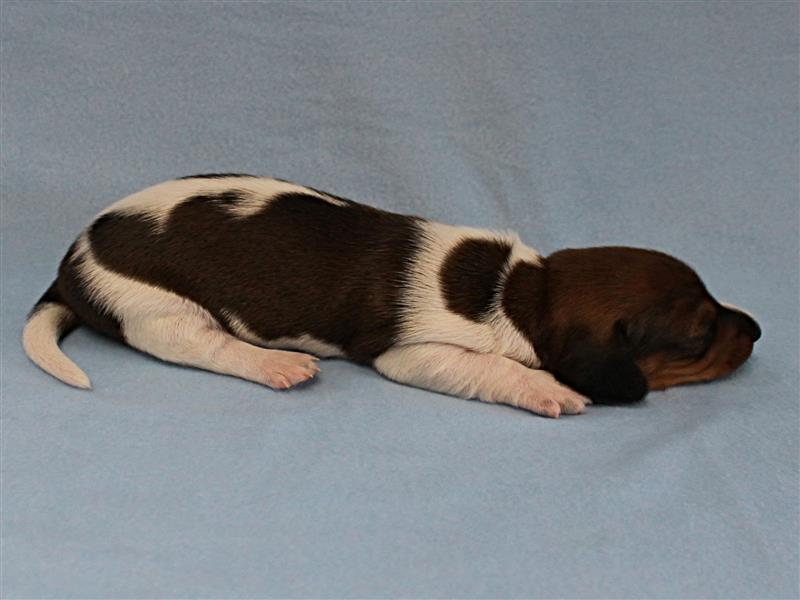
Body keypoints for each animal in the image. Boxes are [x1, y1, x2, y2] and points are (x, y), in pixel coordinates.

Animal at [23, 174, 761, 417]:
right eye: (700, 333)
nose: (756, 330)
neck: (522, 290)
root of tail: (74, 257)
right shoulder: (413, 354)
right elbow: (489, 367)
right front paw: (542, 388)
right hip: (158, 311)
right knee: (211, 347)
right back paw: (275, 364)